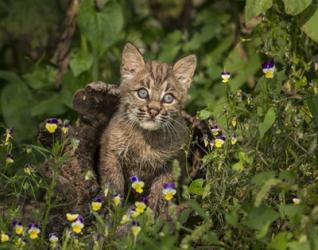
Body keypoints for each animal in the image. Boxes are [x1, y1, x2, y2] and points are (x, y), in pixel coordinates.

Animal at [99, 43, 196, 211]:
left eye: (168, 98)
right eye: (142, 93)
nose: (153, 111)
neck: (146, 137)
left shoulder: (173, 160)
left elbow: (163, 187)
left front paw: (156, 210)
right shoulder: (111, 151)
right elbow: (113, 181)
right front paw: (114, 207)